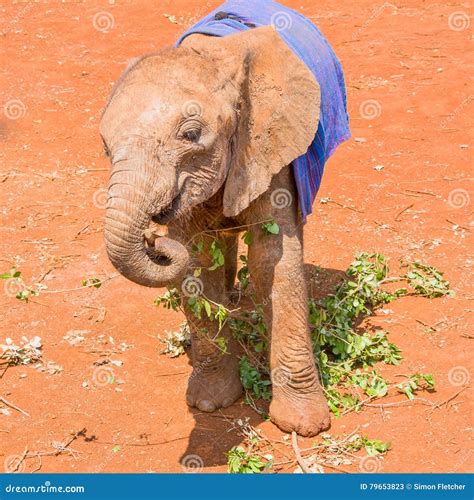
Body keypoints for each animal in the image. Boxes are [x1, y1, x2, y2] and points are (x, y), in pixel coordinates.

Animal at [100, 0, 350, 438]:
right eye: (104, 146)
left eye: (191, 135)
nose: (153, 239)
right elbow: (198, 265)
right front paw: (209, 403)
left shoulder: (267, 142)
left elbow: (272, 261)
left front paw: (303, 427)